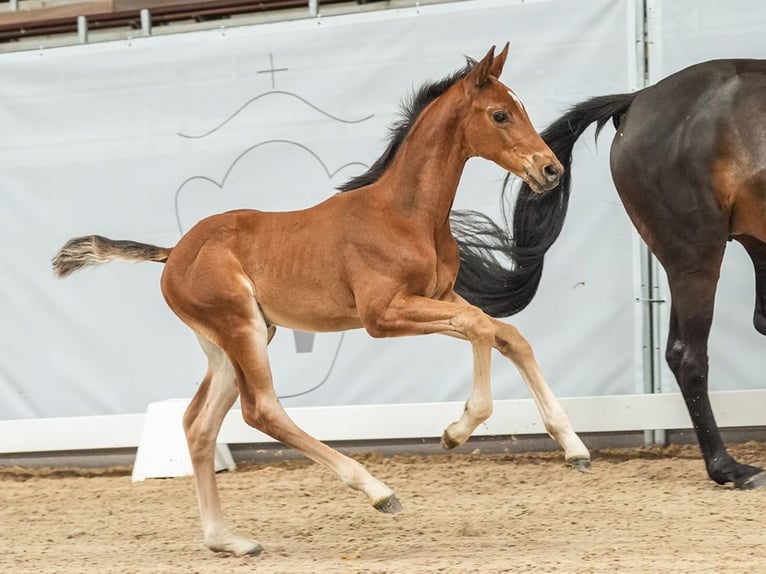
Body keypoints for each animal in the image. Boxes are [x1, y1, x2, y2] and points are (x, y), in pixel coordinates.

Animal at [54, 45, 592, 560]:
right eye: (500, 114)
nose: (550, 169)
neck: (404, 214)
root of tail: (173, 253)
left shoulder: (437, 295)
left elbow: (507, 334)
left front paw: (575, 448)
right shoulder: (383, 314)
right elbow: (480, 326)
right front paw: (457, 431)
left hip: (230, 343)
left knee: (198, 424)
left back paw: (229, 541)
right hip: (242, 329)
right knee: (261, 410)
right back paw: (377, 491)